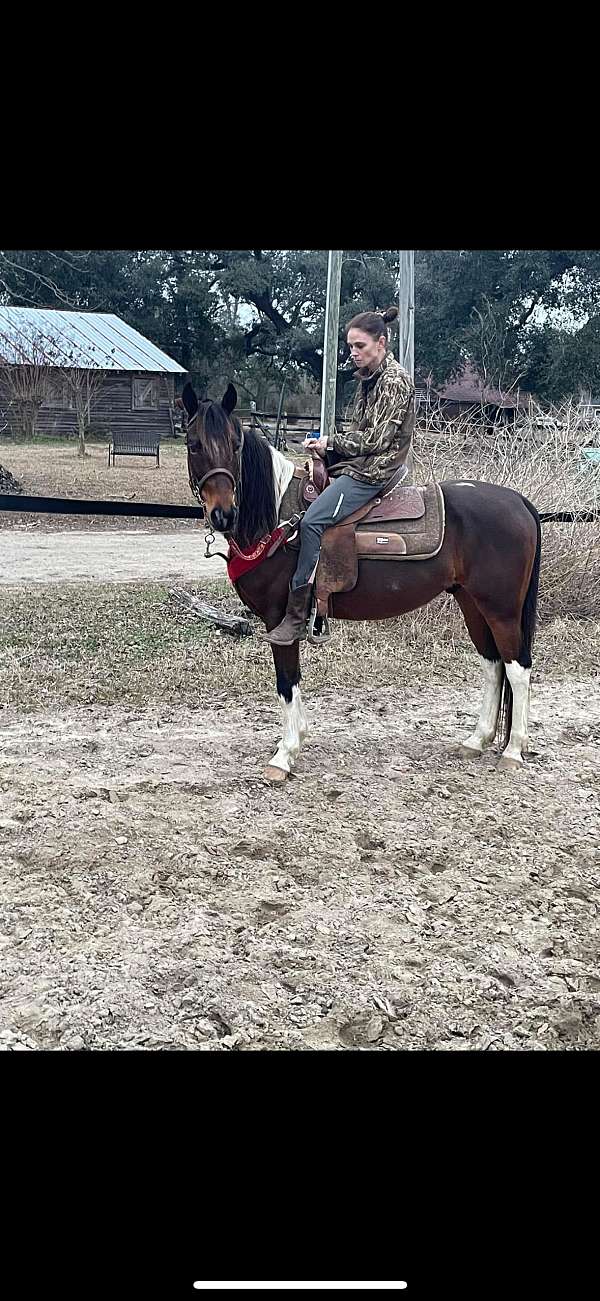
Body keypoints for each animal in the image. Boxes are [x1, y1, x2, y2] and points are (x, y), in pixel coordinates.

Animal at [183, 382, 541, 785]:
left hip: (501, 609)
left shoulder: (280, 620)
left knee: (518, 668)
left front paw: (284, 755)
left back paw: (512, 751)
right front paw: (298, 739)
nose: (223, 514)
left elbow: (286, 682)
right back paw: (477, 740)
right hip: (472, 603)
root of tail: (519, 501)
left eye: (235, 445)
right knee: (493, 664)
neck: (277, 517)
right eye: (193, 444)